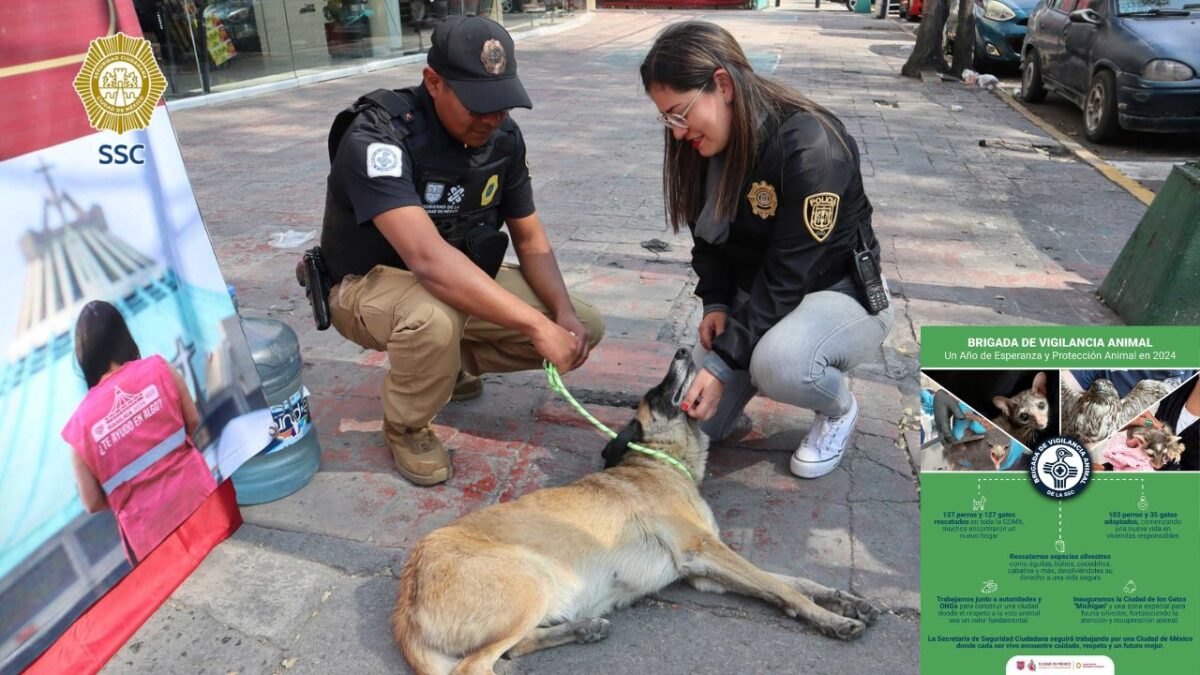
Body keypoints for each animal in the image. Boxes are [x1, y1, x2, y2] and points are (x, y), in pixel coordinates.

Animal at [393, 348, 883, 667]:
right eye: (657, 391)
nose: (684, 349)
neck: (660, 461)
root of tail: (407, 600)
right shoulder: (702, 551)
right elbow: (784, 587)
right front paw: (830, 620)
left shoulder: (707, 573)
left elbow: (789, 581)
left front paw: (841, 600)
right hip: (530, 584)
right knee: (477, 665)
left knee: (512, 648)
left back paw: (583, 628)